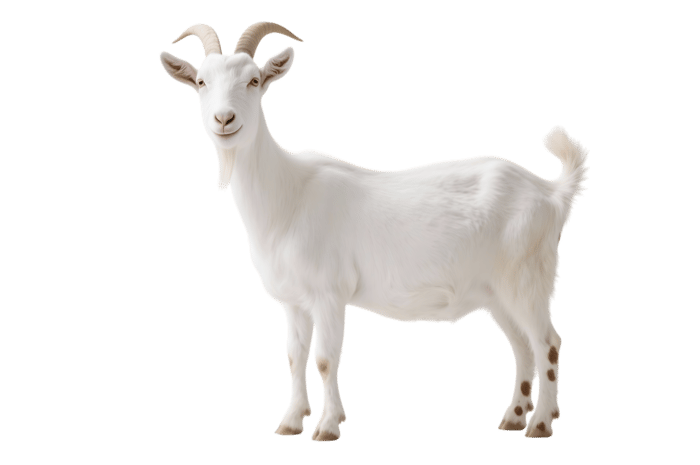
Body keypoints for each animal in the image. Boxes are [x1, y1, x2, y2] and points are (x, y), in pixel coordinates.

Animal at [158, 21, 589, 443]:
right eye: (201, 81)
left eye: (253, 80)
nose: (224, 120)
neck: (287, 196)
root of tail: (551, 193)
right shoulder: (293, 301)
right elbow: (294, 357)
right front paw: (291, 421)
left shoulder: (329, 294)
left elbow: (325, 359)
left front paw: (327, 427)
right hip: (496, 293)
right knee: (522, 346)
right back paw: (514, 417)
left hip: (528, 279)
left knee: (547, 344)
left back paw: (540, 423)